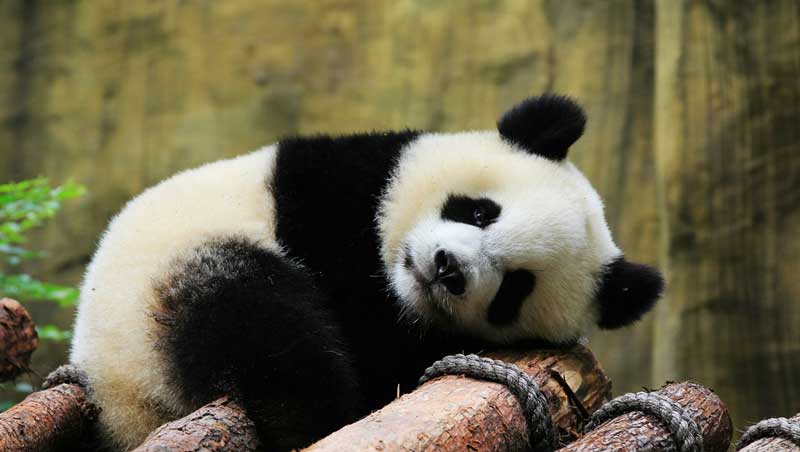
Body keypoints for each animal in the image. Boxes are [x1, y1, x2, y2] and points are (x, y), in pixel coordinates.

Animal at [70, 95, 663, 451]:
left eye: (515, 288)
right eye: (478, 211)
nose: (446, 268)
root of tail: (121, 405)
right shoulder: (334, 192)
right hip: (164, 289)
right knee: (271, 340)